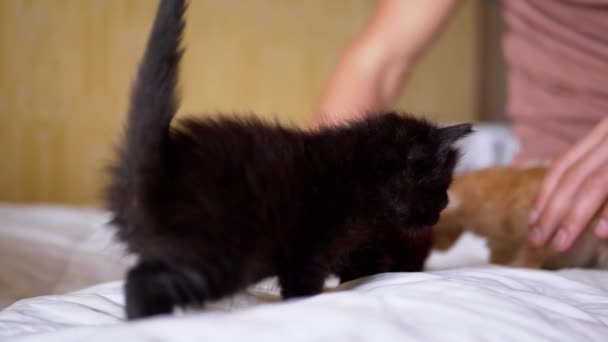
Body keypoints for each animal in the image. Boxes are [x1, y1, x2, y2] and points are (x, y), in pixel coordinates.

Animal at [107, 0, 472, 320]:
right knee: (142, 282)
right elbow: (303, 284)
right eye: (440, 186)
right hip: (224, 252)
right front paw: (305, 304)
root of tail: (155, 171)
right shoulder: (312, 247)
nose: (445, 204)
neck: (361, 172)